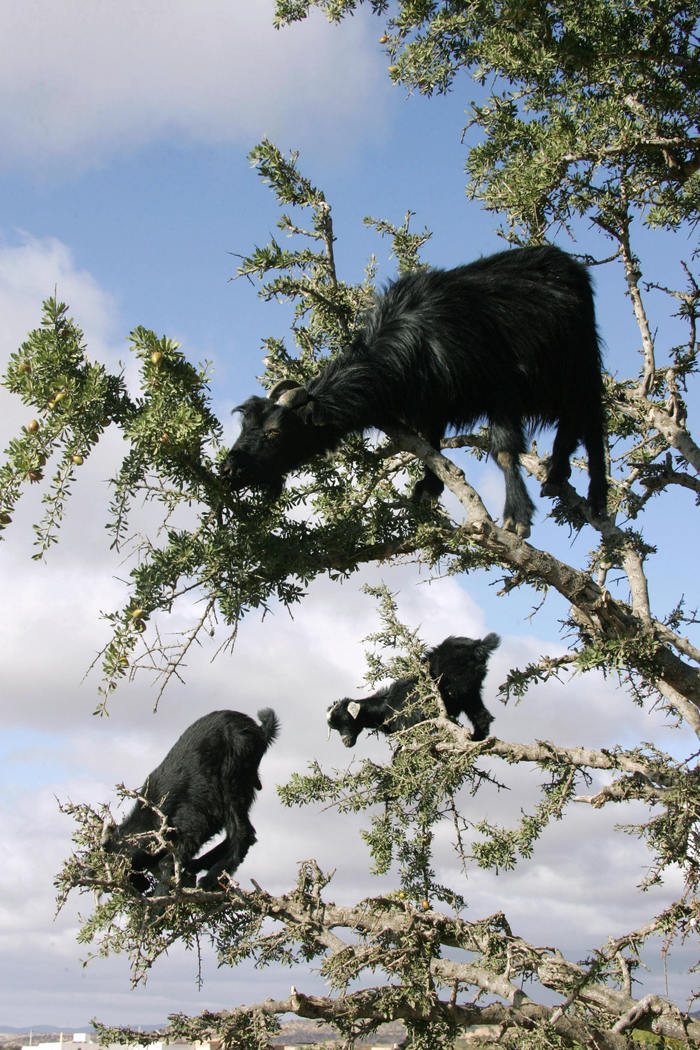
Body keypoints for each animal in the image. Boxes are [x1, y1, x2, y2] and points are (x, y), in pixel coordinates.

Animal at [103, 705, 279, 894]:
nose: (141, 886)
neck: (148, 819)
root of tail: (259, 731)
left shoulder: (193, 824)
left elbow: (168, 861)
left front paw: (161, 894)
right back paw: (200, 865)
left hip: (232, 779)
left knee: (242, 833)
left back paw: (211, 878)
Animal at [220, 243, 608, 533]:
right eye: (244, 426)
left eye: (274, 433)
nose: (229, 470)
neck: (413, 340)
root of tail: (567, 264)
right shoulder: (431, 403)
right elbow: (431, 447)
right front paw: (429, 487)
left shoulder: (502, 387)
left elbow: (503, 449)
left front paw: (516, 515)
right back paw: (558, 474)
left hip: (582, 365)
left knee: (592, 424)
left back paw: (595, 496)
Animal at [327, 630, 497, 747]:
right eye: (334, 728)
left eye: (346, 720)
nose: (346, 741)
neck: (384, 706)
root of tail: (478, 646)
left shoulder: (409, 724)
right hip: (472, 690)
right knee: (481, 714)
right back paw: (476, 739)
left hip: (461, 683)